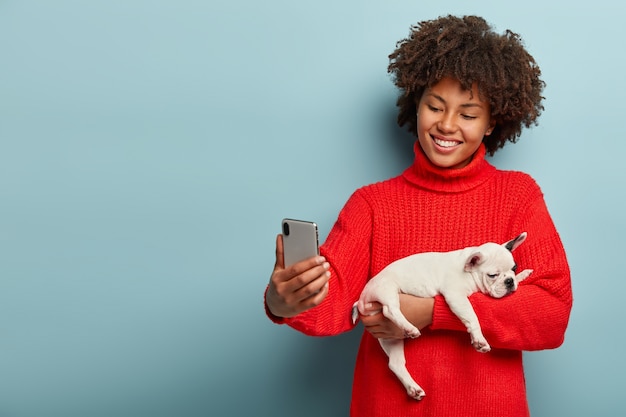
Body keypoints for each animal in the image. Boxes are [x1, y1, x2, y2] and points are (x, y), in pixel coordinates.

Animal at [352, 232, 532, 398]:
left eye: (514, 268)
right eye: (492, 275)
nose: (509, 281)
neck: (469, 271)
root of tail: (362, 298)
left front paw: (522, 275)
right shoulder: (456, 296)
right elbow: (472, 317)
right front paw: (479, 339)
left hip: (391, 339)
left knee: (395, 364)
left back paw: (413, 388)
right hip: (387, 289)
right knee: (390, 309)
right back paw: (411, 328)